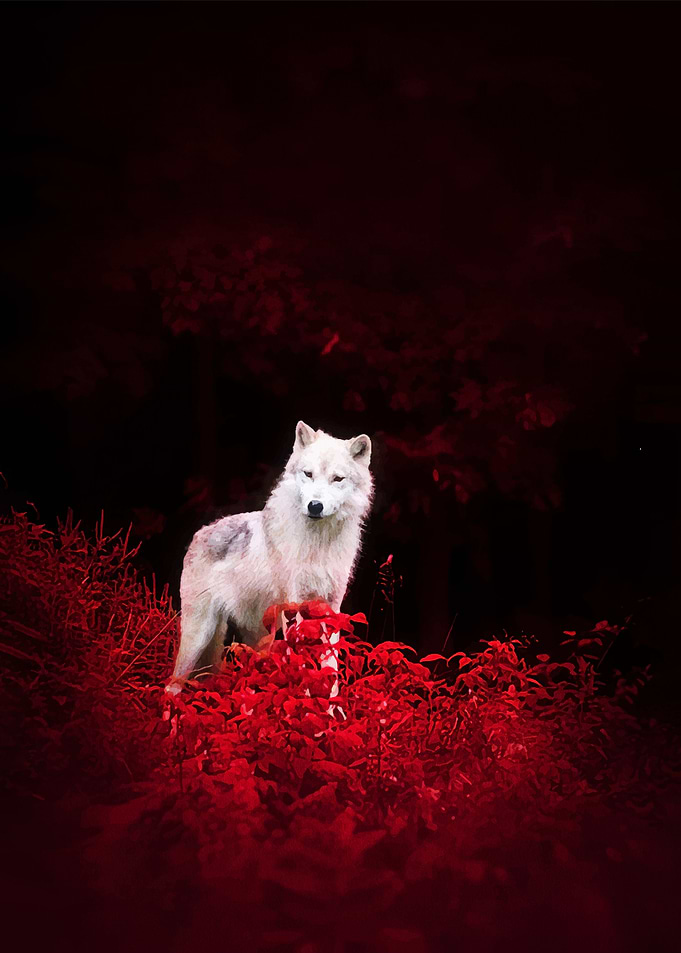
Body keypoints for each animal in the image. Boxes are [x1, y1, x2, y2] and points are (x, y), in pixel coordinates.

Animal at [166, 421, 373, 693]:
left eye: (337, 479)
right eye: (308, 474)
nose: (315, 506)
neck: (317, 544)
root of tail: (200, 532)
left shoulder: (331, 608)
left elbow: (330, 666)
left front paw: (331, 705)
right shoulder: (293, 606)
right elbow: (302, 661)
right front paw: (305, 702)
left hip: (257, 637)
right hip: (199, 637)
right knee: (171, 686)